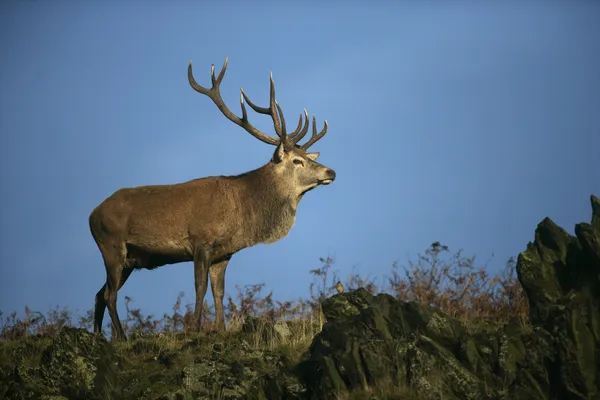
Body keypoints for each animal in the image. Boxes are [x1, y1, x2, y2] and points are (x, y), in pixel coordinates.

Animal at [88, 57, 338, 340]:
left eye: (308, 157)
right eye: (297, 161)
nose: (331, 172)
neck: (242, 209)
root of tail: (92, 215)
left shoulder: (223, 253)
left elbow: (219, 291)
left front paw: (221, 328)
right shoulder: (200, 241)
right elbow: (200, 287)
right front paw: (195, 328)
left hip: (130, 259)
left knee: (99, 293)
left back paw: (98, 337)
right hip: (111, 244)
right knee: (109, 295)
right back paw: (120, 337)